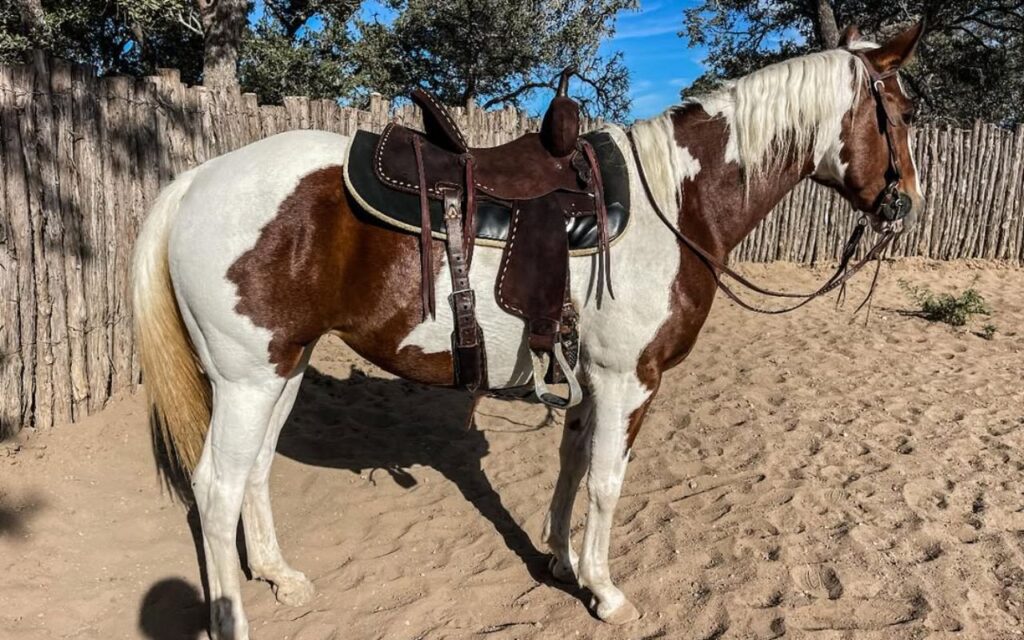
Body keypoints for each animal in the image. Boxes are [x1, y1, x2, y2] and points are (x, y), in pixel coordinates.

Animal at [132, 22, 925, 639]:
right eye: (902, 110)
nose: (906, 205)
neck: (677, 203)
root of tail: (197, 181)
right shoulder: (628, 380)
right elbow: (607, 480)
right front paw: (604, 591)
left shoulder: (587, 379)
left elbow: (573, 467)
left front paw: (559, 560)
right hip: (245, 379)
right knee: (215, 486)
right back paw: (233, 616)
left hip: (283, 368)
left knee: (255, 470)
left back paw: (279, 575)